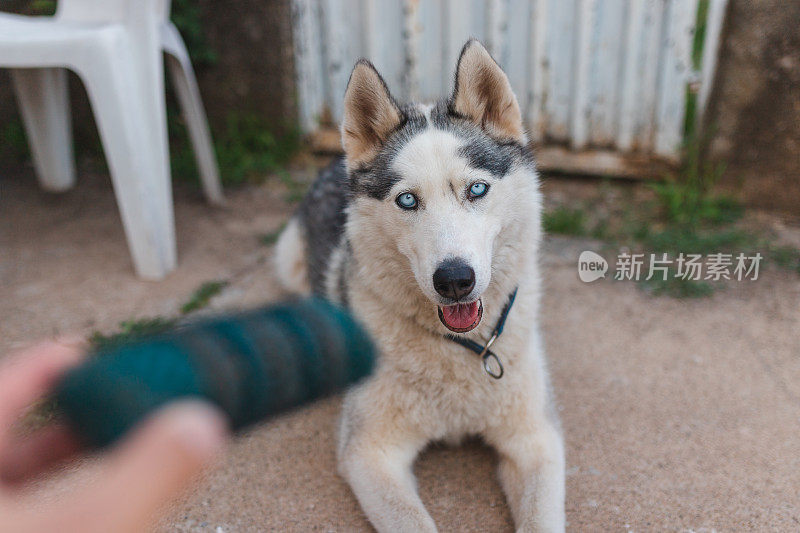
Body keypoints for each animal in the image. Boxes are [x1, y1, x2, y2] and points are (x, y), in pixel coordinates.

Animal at [278, 39, 564, 528]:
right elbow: (412, 521)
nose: (454, 280)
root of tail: (334, 164)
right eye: (407, 200)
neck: (462, 349)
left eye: (476, 190)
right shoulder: (370, 452)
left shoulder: (535, 441)